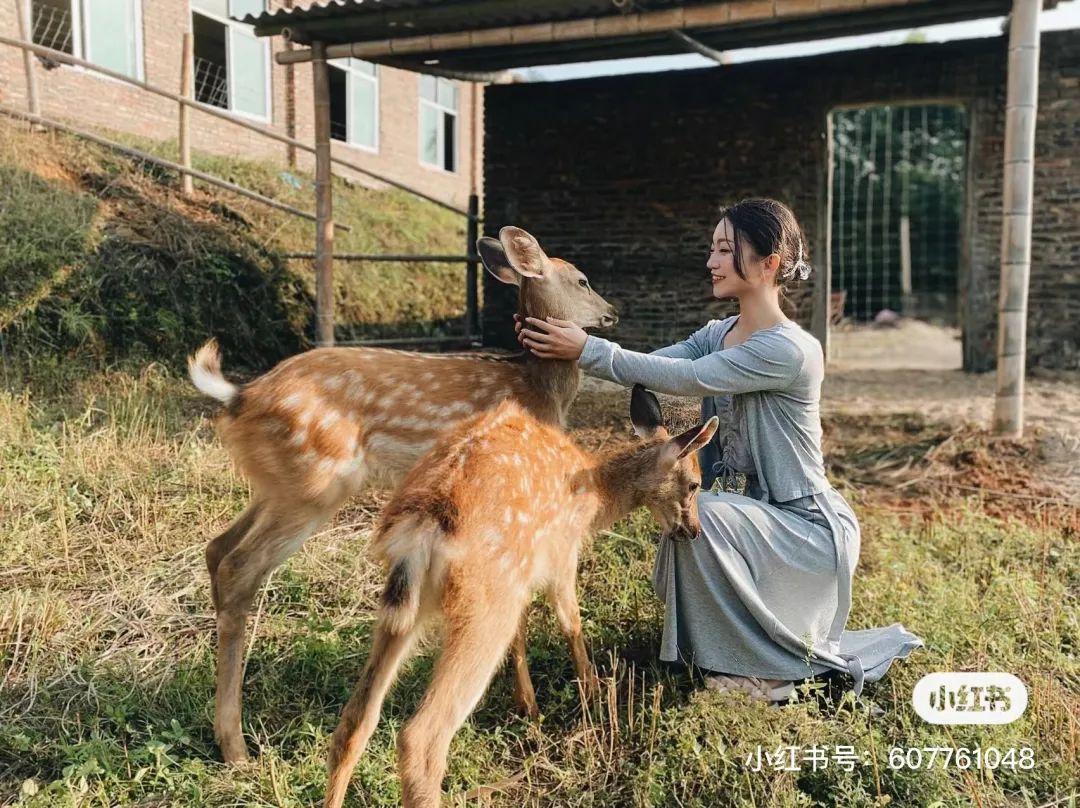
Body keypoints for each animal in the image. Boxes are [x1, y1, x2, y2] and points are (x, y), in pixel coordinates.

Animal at [187, 225, 617, 764]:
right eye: (582, 279)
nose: (612, 313)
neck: (540, 390)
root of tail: (239, 396)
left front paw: (527, 706)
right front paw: (545, 705)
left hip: (276, 484)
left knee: (216, 547)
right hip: (316, 484)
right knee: (240, 565)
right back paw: (236, 746)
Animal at [321, 386, 717, 808]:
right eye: (695, 483)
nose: (692, 531)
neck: (594, 493)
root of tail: (423, 524)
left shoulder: (523, 576)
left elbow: (522, 631)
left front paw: (528, 705)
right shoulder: (561, 553)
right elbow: (570, 622)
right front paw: (591, 692)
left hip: (407, 604)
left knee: (355, 720)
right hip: (483, 602)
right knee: (421, 737)